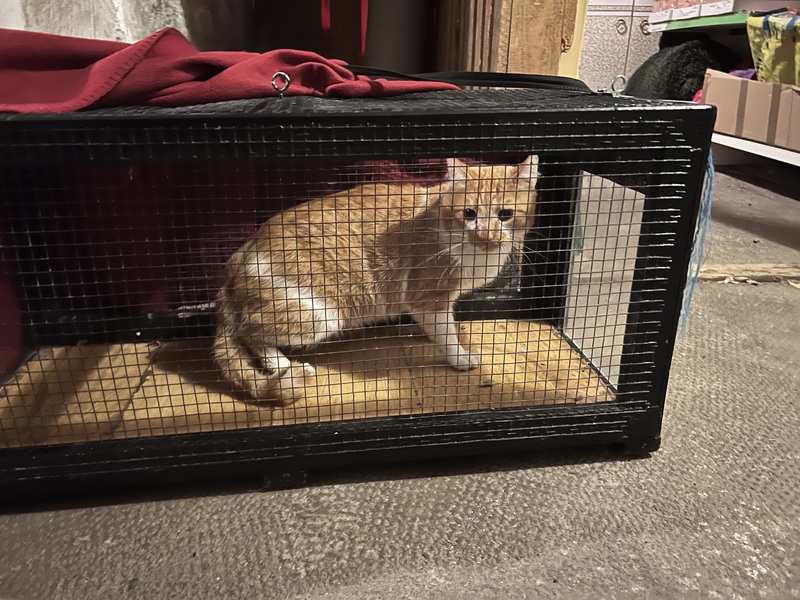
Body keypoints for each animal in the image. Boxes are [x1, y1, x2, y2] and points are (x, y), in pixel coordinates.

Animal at [213, 156, 539, 404]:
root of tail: (237, 256)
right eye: (469, 213)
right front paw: (459, 357)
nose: (485, 235)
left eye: (505, 214)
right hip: (320, 315)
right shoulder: (428, 297)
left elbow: (442, 325)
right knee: (248, 332)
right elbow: (446, 335)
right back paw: (282, 364)